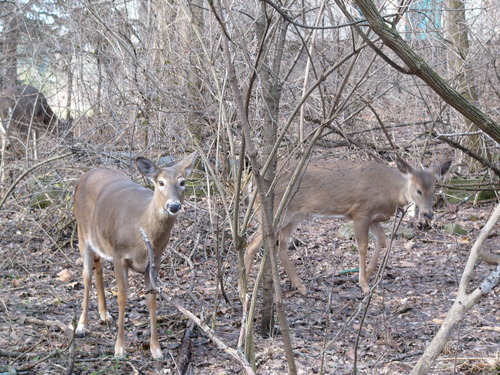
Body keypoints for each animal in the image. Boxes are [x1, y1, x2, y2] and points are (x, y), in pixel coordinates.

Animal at [73, 151, 197, 360]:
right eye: (160, 182)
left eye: (182, 182)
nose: (173, 206)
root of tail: (86, 174)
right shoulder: (119, 256)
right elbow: (122, 297)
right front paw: (119, 348)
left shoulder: (154, 261)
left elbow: (152, 300)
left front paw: (156, 349)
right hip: (82, 233)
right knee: (86, 274)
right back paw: (82, 325)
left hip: (100, 241)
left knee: (98, 266)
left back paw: (105, 314)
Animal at [244, 157, 452, 296]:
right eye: (418, 190)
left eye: (434, 188)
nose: (428, 214)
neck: (389, 190)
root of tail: (250, 184)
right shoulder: (360, 212)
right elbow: (362, 247)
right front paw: (364, 283)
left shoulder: (373, 218)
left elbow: (382, 241)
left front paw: (368, 273)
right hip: (275, 211)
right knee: (251, 244)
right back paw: (244, 290)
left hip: (294, 217)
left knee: (282, 245)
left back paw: (301, 286)